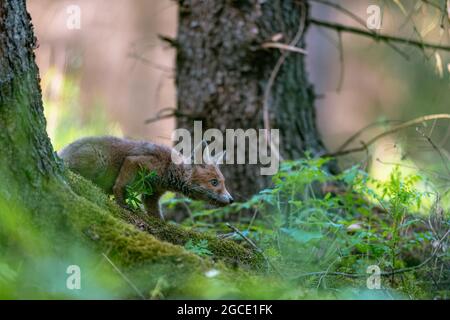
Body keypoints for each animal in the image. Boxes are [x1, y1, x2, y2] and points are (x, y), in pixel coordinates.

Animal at [58, 135, 234, 220]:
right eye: (214, 182)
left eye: (224, 183)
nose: (232, 200)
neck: (168, 168)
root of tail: (60, 152)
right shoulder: (134, 161)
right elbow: (119, 186)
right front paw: (123, 204)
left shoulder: (152, 195)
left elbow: (157, 216)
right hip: (98, 162)